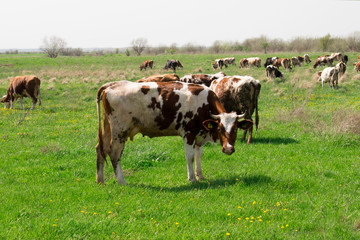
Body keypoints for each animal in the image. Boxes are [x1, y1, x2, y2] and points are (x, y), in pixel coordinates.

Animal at [95, 80, 253, 184]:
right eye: (220, 128)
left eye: (235, 128)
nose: (228, 149)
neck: (204, 103)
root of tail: (111, 84)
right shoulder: (188, 133)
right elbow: (190, 157)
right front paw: (192, 178)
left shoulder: (200, 134)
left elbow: (199, 155)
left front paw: (200, 175)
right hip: (120, 132)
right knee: (114, 154)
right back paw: (121, 181)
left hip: (108, 128)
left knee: (101, 149)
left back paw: (100, 180)